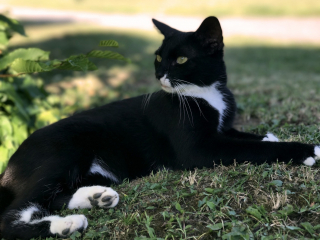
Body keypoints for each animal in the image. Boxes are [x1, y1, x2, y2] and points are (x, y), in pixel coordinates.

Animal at [0, 15, 320, 239]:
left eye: (181, 59)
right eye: (158, 56)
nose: (159, 73)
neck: (203, 92)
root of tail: (9, 168)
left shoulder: (223, 130)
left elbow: (251, 138)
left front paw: (272, 136)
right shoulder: (198, 149)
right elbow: (250, 149)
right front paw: (307, 150)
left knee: (52, 197)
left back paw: (96, 197)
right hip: (65, 148)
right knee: (13, 214)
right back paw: (68, 224)